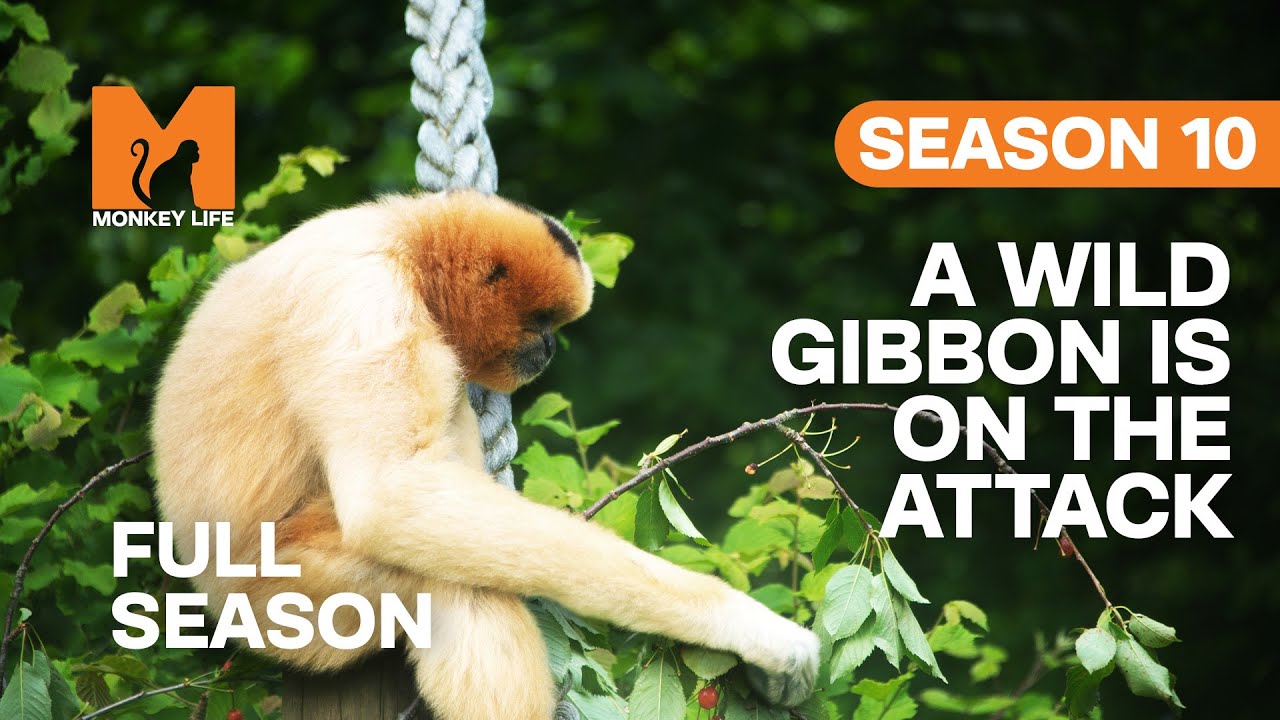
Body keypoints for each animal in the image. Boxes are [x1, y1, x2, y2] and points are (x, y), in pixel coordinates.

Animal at [151, 191, 819, 719]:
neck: (401, 241)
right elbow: (392, 498)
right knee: (446, 582)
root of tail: (207, 594)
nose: (549, 346)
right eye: (542, 319)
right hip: (288, 603)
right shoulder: (363, 304)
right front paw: (746, 624)